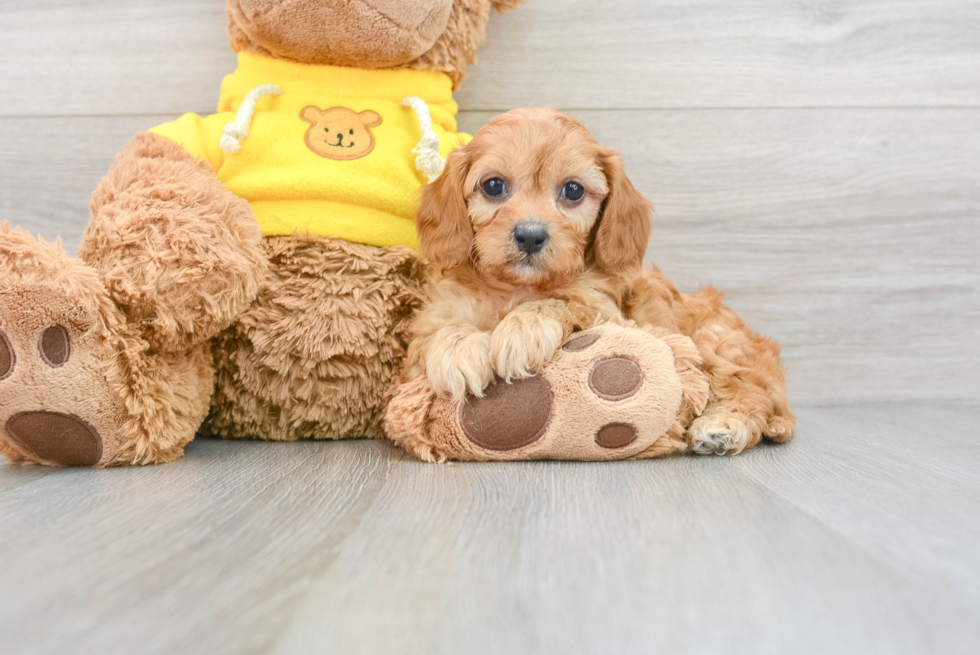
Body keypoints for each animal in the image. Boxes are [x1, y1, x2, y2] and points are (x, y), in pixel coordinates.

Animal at [408, 107, 796, 456]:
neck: (518, 287)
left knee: (749, 391)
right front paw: (458, 350)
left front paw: (523, 329)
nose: (530, 236)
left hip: (717, 344)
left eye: (573, 191)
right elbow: (442, 329)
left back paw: (724, 427)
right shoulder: (439, 312)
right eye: (493, 185)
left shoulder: (608, 313)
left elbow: (563, 303)